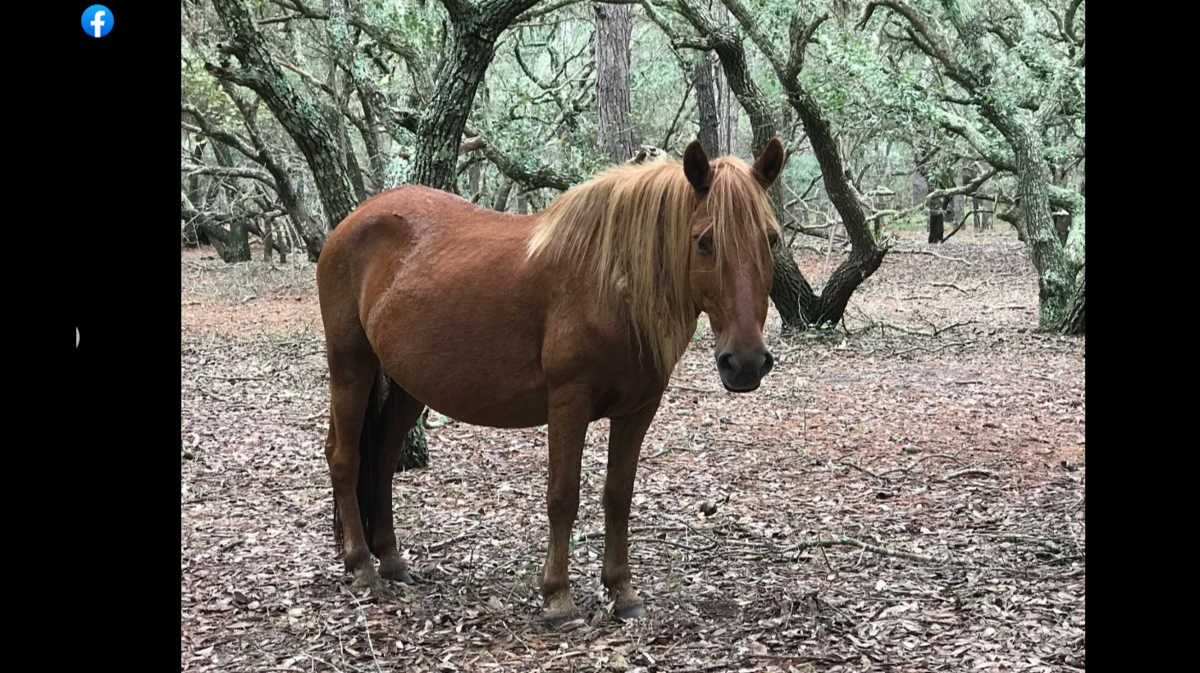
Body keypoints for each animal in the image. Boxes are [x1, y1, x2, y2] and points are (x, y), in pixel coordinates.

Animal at [316, 138, 784, 624]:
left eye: (771, 239)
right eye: (704, 241)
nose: (745, 363)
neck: (610, 283)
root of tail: (350, 222)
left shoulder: (638, 409)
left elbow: (618, 496)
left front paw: (622, 591)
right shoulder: (568, 402)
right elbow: (563, 497)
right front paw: (558, 597)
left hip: (409, 385)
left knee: (384, 453)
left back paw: (391, 560)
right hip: (351, 365)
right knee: (344, 457)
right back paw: (362, 566)